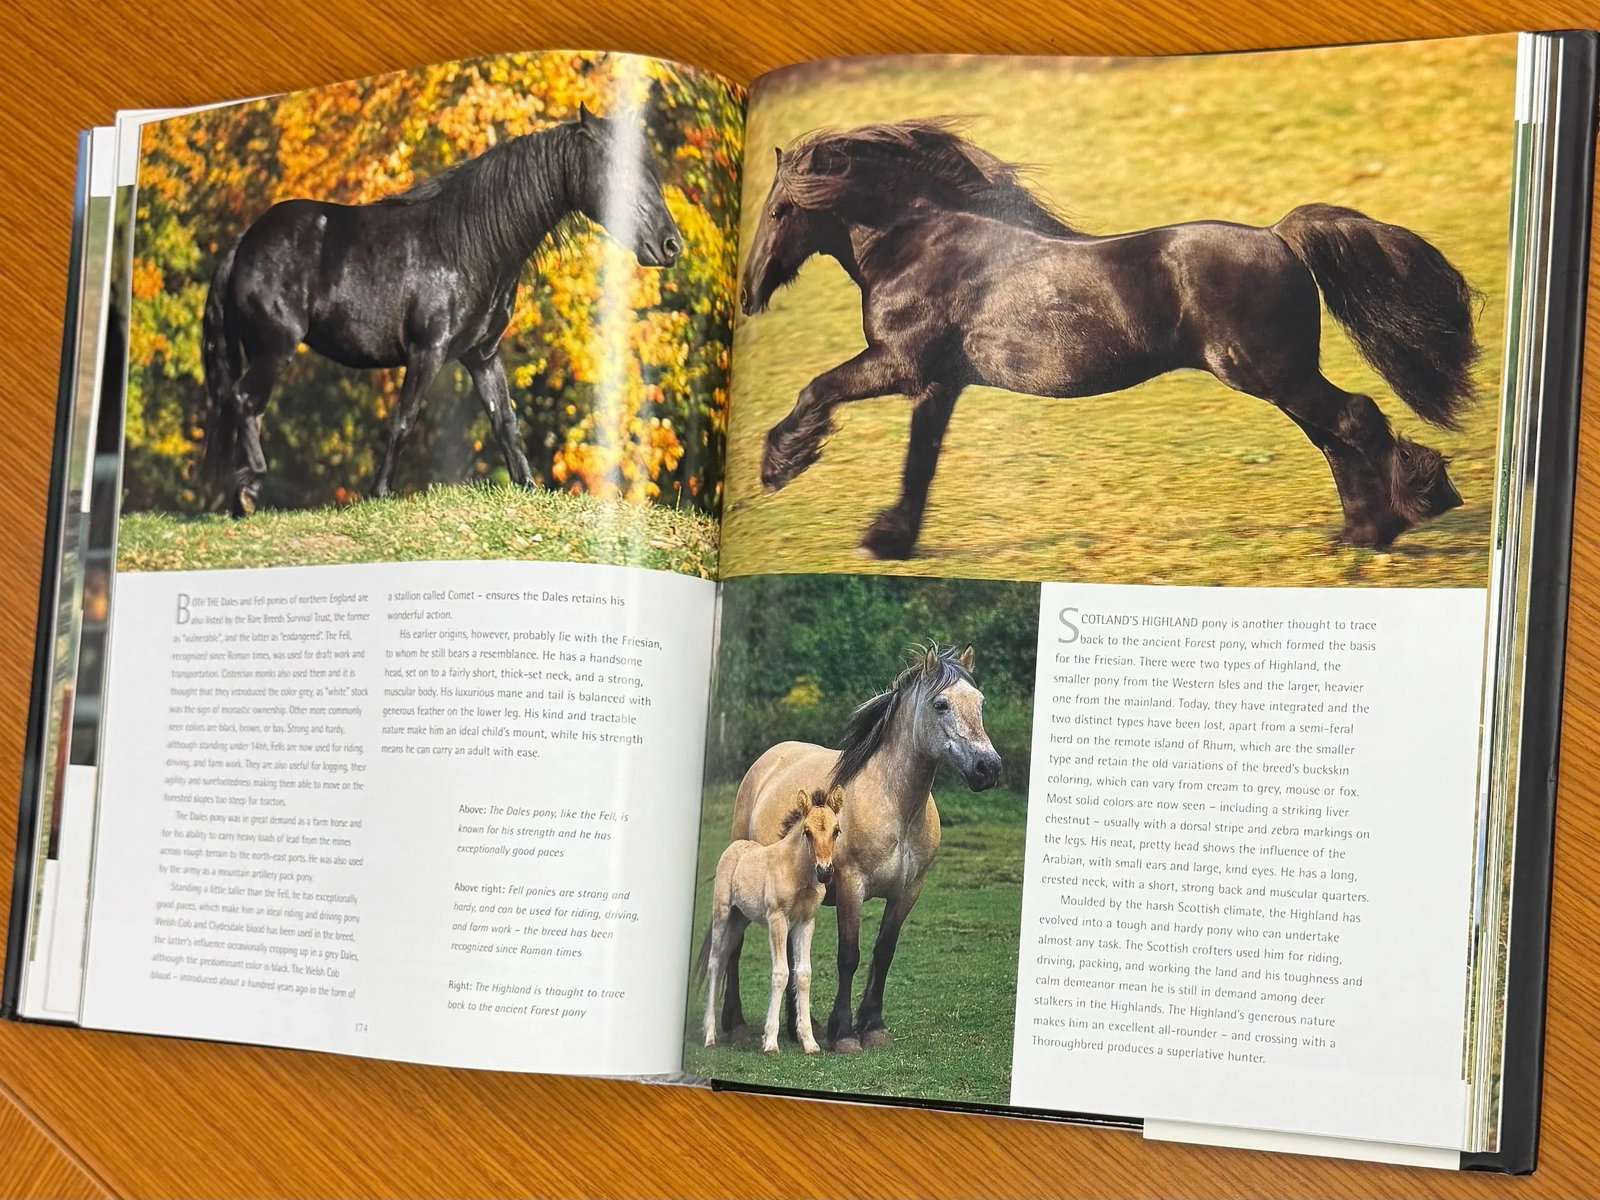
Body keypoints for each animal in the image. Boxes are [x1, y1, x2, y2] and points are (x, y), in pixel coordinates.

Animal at [201, 104, 682, 517]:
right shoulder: (427, 352)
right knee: (243, 401)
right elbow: (403, 419)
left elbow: (505, 422)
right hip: (275, 350)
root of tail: (245, 243)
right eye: (619, 174)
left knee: (248, 405)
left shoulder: (483, 356)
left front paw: (527, 487)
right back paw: (247, 492)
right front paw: (378, 494)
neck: (469, 247)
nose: (671, 245)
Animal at [698, 786, 844, 1054]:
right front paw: (771, 1041)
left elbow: (803, 974)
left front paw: (809, 1042)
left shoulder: (806, 922)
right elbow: (781, 973)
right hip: (722, 914)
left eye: (836, 830)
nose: (824, 871)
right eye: (807, 832)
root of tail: (734, 847)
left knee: (724, 959)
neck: (797, 872)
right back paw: (710, 1035)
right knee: (714, 962)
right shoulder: (777, 919)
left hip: (739, 920)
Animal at [725, 644, 1002, 1053]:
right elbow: (849, 956)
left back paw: (795, 1027)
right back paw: (736, 1025)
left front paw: (872, 1026)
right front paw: (844, 1033)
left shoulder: (908, 891)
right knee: (734, 945)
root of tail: (768, 759)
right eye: (940, 705)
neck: (895, 805)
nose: (988, 768)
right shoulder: (851, 886)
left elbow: (883, 954)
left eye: (979, 702)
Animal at [738, 119, 1481, 560]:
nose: (747, 294)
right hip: (1281, 380)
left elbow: (818, 388)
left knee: (1355, 417)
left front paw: (780, 467)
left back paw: (1404, 514)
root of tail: (1279, 236)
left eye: (781, 209)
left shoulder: (899, 364)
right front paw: (890, 539)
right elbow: (919, 463)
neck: (923, 244)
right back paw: (1360, 532)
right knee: (1338, 435)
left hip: (1271, 373)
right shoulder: (939, 385)